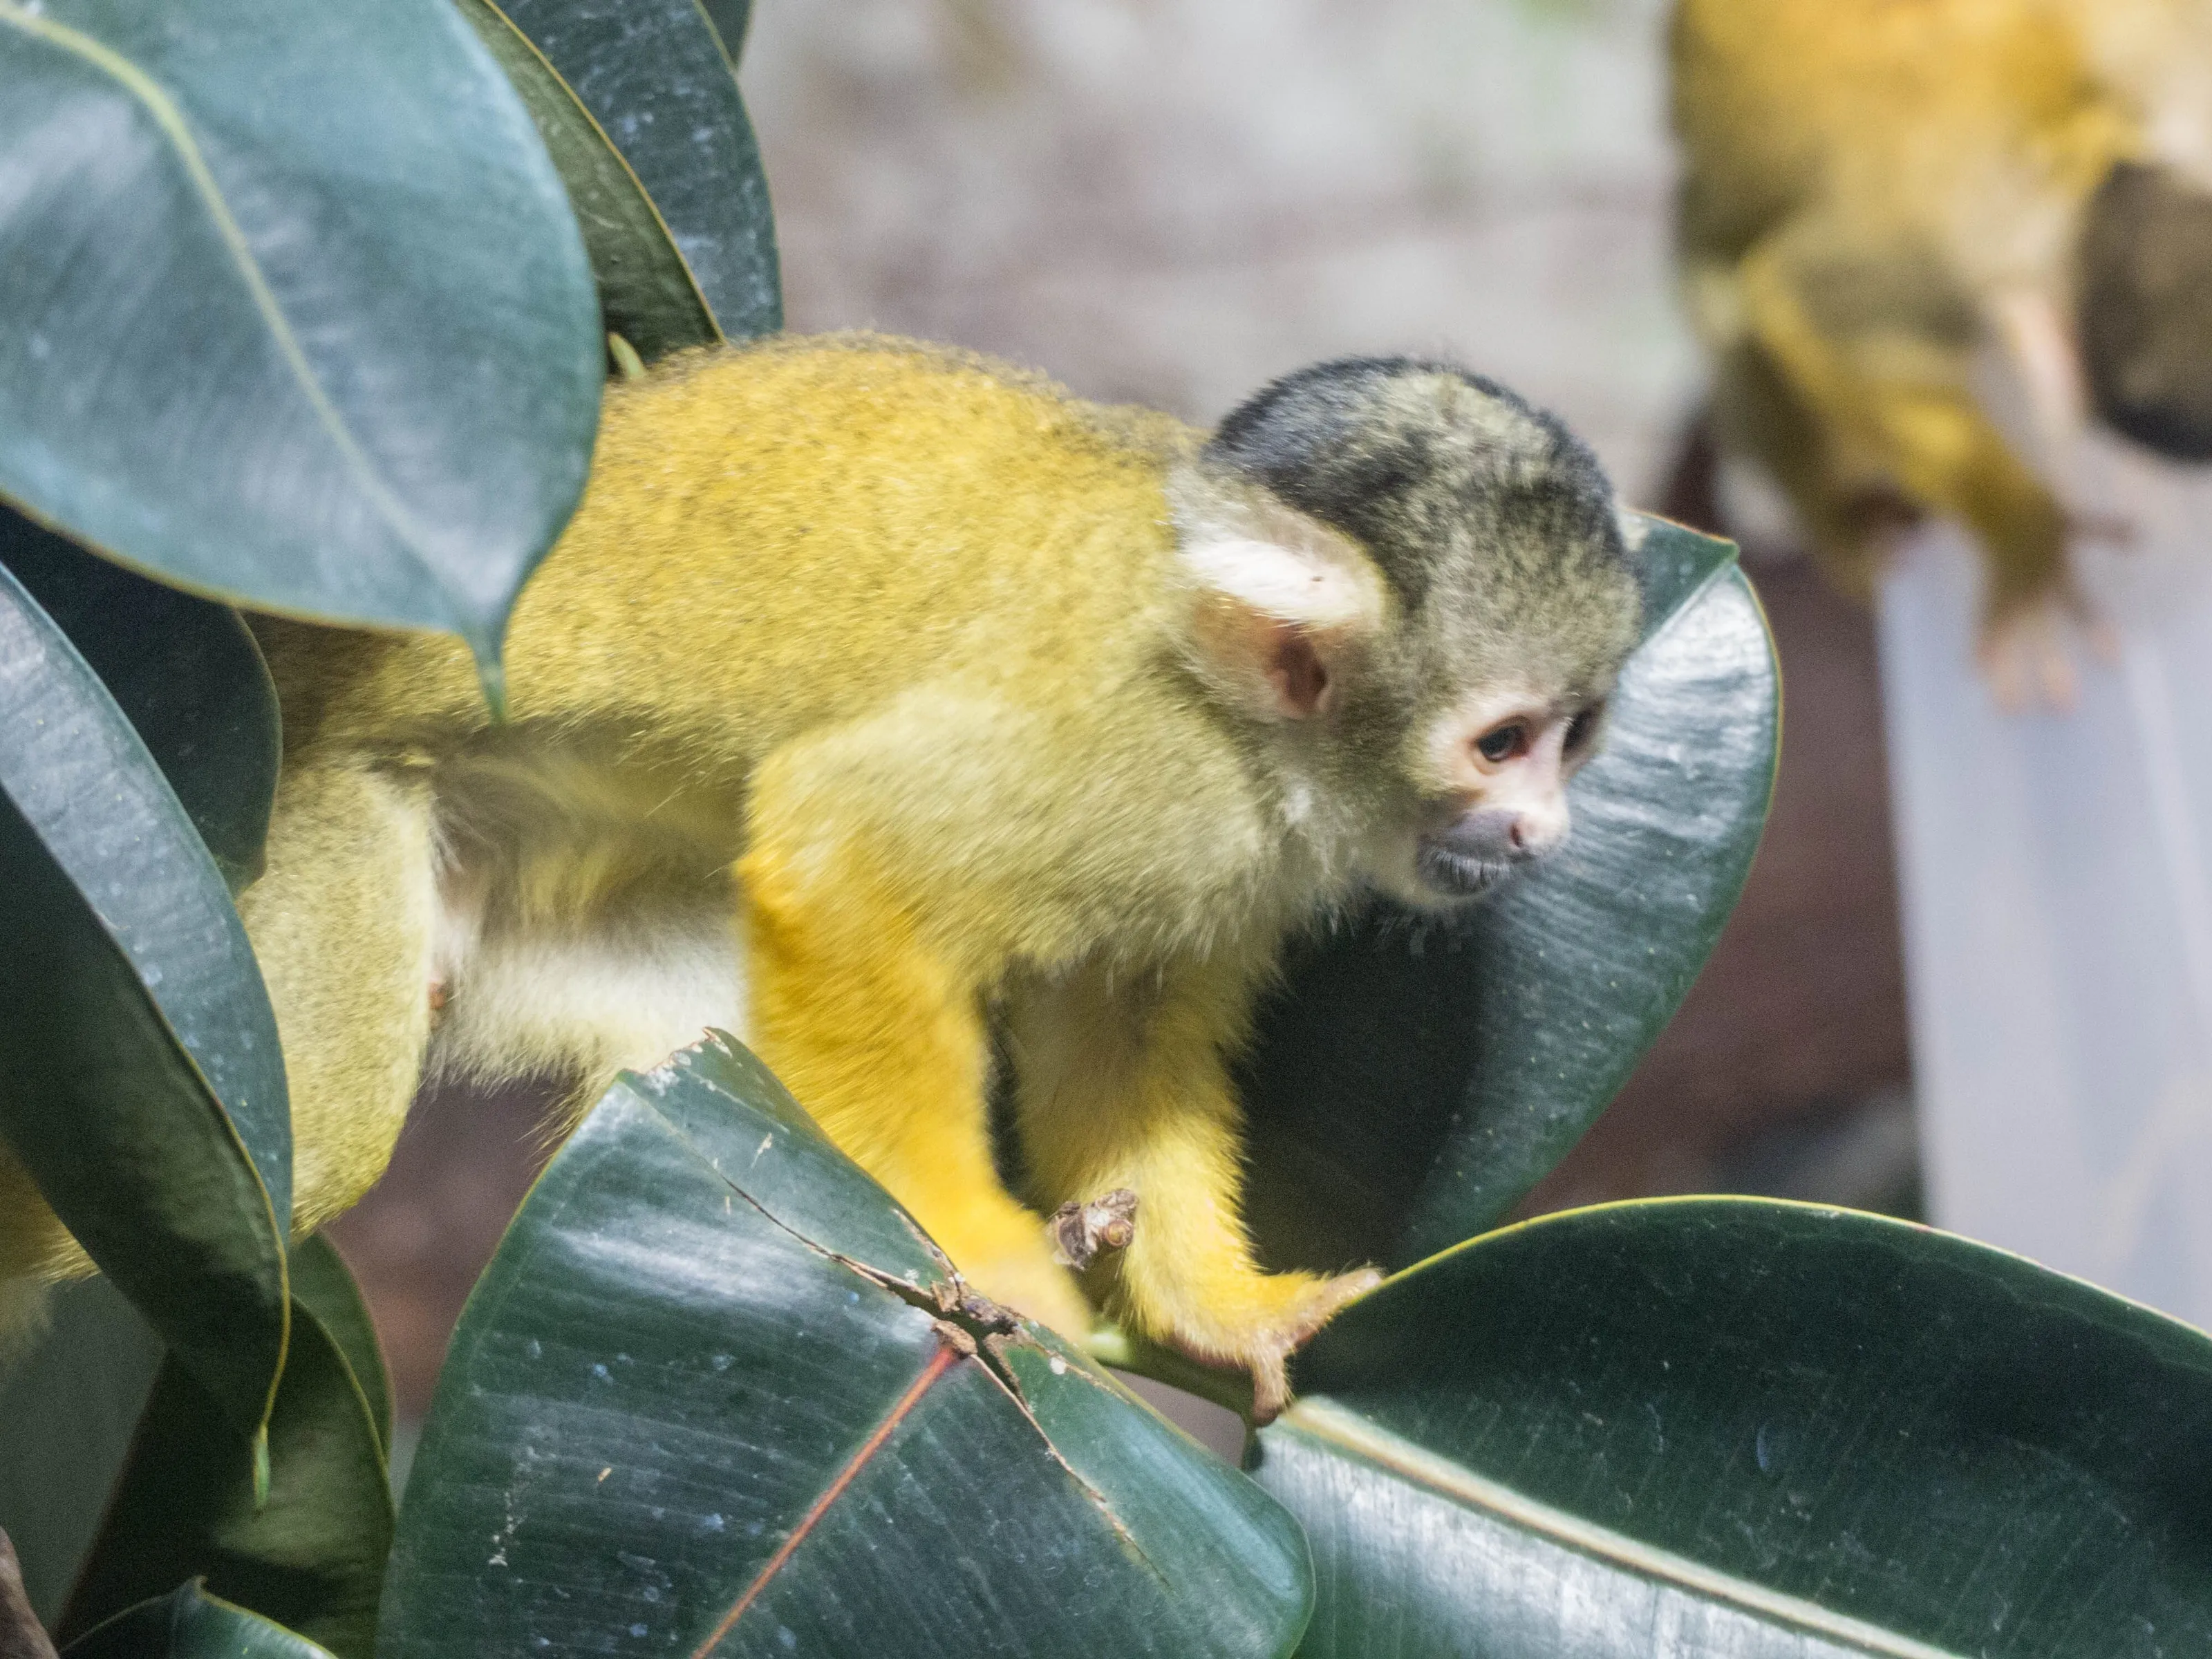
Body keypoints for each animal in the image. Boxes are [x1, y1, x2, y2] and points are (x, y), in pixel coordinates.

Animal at [0, 334, 1641, 1418]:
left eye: (1575, 737)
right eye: (1500, 743)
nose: (1544, 833)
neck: (1256, 727)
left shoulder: (1226, 857)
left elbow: (1119, 1033)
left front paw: (1215, 1309)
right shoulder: (1148, 773)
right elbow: (843, 840)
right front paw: (994, 1260)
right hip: (303, 821)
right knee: (305, 1137)